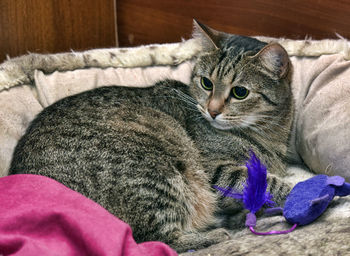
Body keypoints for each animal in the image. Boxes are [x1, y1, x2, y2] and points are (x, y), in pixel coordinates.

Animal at [9, 21, 292, 253]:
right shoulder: (216, 171)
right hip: (158, 173)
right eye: (207, 83)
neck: (267, 135)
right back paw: (217, 234)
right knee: (156, 240)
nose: (212, 110)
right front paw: (293, 191)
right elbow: (267, 183)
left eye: (240, 92)